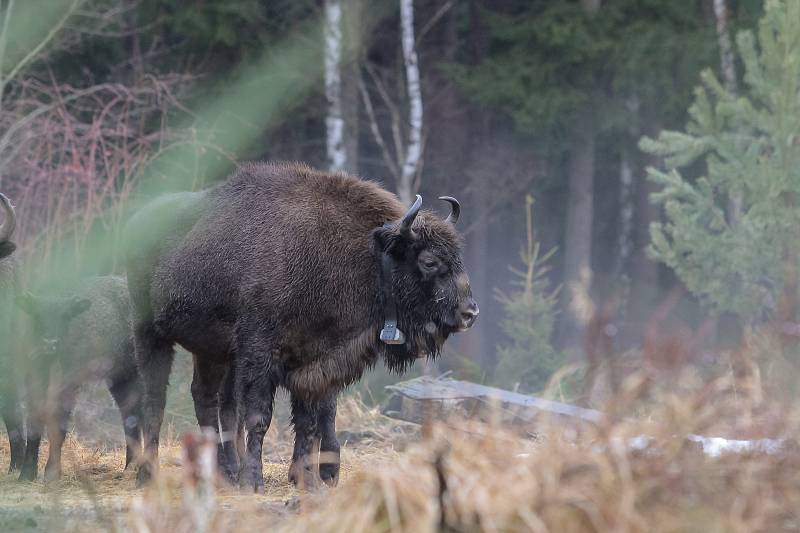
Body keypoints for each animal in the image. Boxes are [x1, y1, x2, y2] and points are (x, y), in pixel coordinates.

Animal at [16, 276, 143, 480]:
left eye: (65, 315)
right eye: (37, 314)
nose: (50, 343)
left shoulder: (69, 386)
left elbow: (58, 425)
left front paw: (52, 472)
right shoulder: (34, 380)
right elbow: (34, 422)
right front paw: (26, 473)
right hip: (119, 378)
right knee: (129, 413)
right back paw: (128, 468)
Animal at [124, 162, 476, 490]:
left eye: (458, 257)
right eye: (429, 261)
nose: (469, 312)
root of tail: (136, 222)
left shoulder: (313, 361)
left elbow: (308, 421)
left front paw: (308, 481)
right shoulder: (259, 352)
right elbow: (259, 417)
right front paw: (254, 481)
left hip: (211, 350)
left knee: (205, 400)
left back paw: (223, 474)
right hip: (151, 335)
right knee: (155, 399)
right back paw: (147, 475)